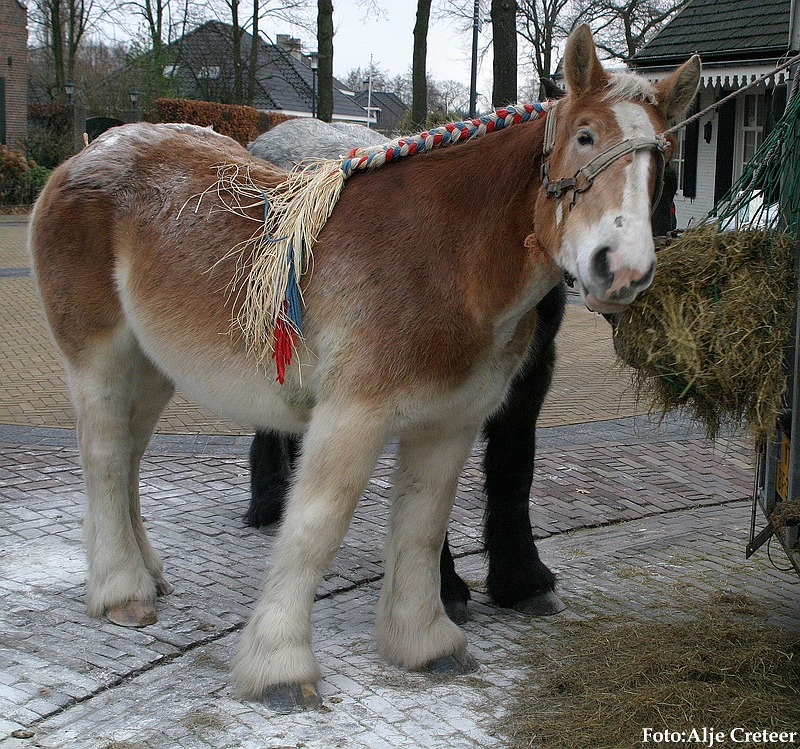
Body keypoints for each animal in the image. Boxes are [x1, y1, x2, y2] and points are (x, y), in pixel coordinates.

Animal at [28, 26, 696, 712]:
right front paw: (279, 668)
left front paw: (423, 643)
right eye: (585, 136)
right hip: (100, 354)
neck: (445, 257)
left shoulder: (450, 422)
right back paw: (121, 591)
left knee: (130, 457)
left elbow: (423, 526)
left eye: (665, 160)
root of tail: (88, 154)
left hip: (155, 363)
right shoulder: (353, 414)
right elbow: (315, 526)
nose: (621, 269)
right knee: (105, 456)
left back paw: (146, 574)